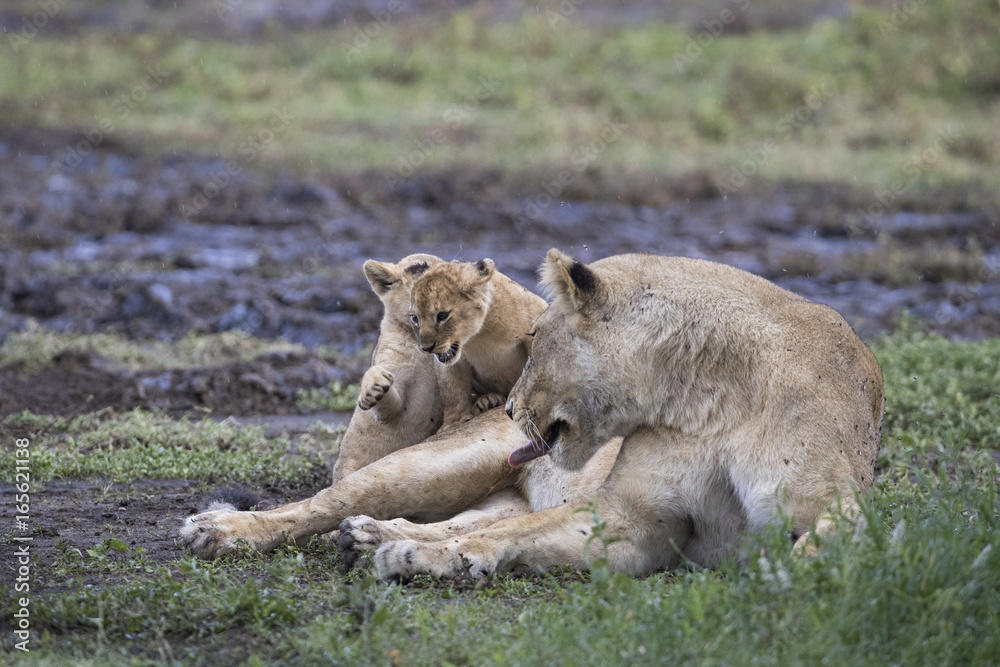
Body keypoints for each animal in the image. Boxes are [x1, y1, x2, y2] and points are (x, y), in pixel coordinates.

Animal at [407, 258, 546, 429]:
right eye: (415, 318)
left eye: (442, 315)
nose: (426, 348)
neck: (478, 336)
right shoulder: (450, 363)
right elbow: (451, 390)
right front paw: (454, 422)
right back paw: (487, 401)